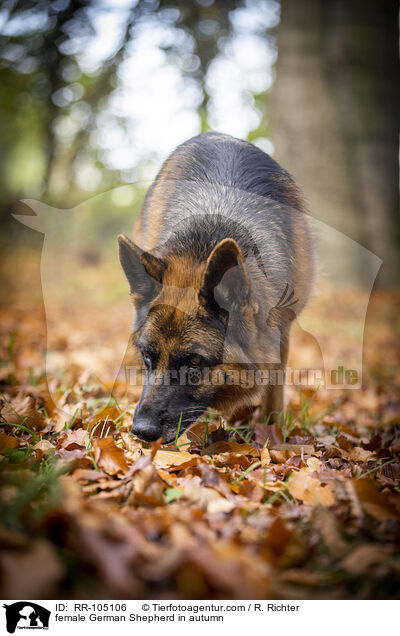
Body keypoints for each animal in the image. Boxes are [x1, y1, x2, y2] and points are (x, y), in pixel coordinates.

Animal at [117, 132, 314, 442]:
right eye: (147, 354)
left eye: (195, 363)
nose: (141, 431)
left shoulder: (282, 332)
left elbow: (274, 389)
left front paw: (272, 435)